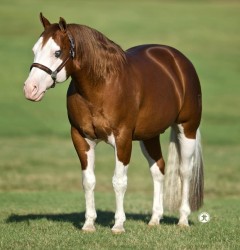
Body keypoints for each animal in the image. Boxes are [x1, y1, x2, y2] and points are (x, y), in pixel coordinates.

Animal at [23, 13, 203, 232]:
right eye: (35, 50)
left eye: (57, 52)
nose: (30, 89)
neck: (101, 86)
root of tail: (178, 60)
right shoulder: (81, 137)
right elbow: (88, 181)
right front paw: (89, 224)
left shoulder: (122, 138)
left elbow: (119, 181)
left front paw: (118, 225)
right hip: (149, 135)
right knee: (158, 170)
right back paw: (154, 219)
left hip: (187, 128)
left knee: (185, 172)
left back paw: (183, 219)